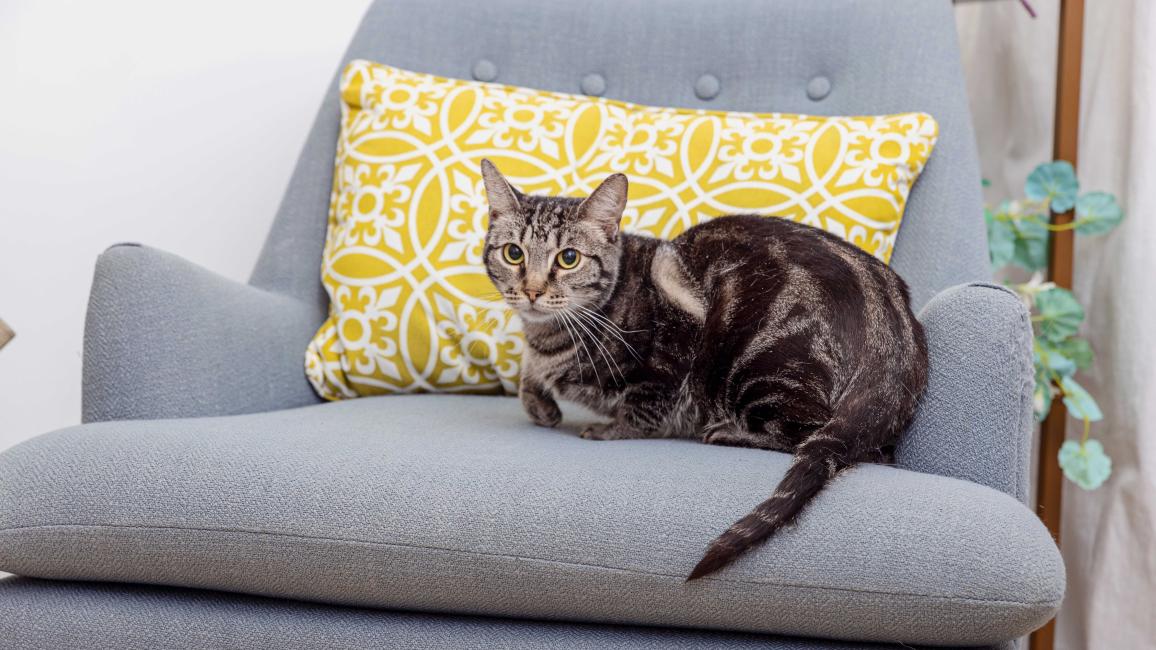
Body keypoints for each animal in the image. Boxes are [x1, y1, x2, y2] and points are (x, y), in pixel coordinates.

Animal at [478, 159, 929, 578]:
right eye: (513, 253)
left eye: (568, 258)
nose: (532, 291)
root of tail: (893, 336)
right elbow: (530, 375)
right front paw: (541, 403)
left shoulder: (673, 349)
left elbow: (643, 407)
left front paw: (609, 429)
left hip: (753, 365)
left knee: (824, 440)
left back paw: (727, 431)